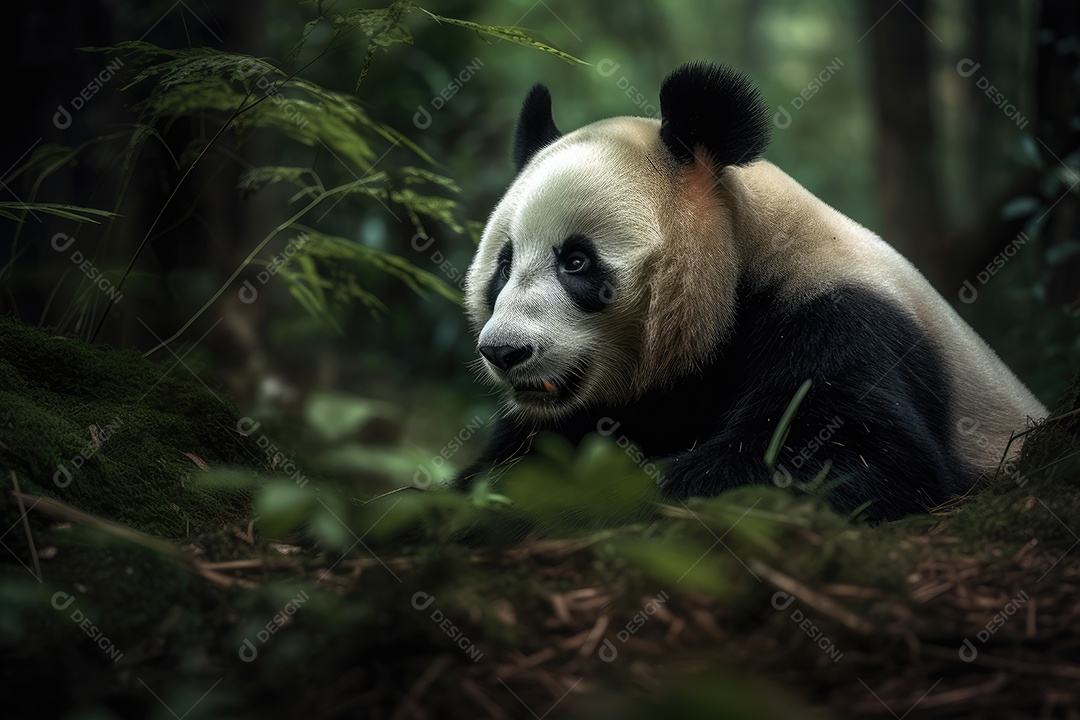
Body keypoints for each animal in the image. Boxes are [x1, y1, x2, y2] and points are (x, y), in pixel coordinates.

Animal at [455, 61, 1047, 520]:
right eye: (503, 266)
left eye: (576, 261)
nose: (504, 352)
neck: (746, 257)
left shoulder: (844, 319)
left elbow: (856, 458)